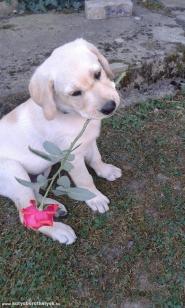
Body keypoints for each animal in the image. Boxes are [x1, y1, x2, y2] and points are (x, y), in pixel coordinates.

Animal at [0, 39, 121, 245]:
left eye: (98, 74)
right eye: (75, 93)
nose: (109, 107)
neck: (71, 114)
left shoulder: (88, 140)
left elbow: (96, 158)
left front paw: (106, 170)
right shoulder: (72, 156)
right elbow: (84, 179)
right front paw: (95, 198)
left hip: (40, 172)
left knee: (34, 196)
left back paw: (52, 208)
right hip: (13, 171)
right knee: (26, 215)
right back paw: (58, 230)